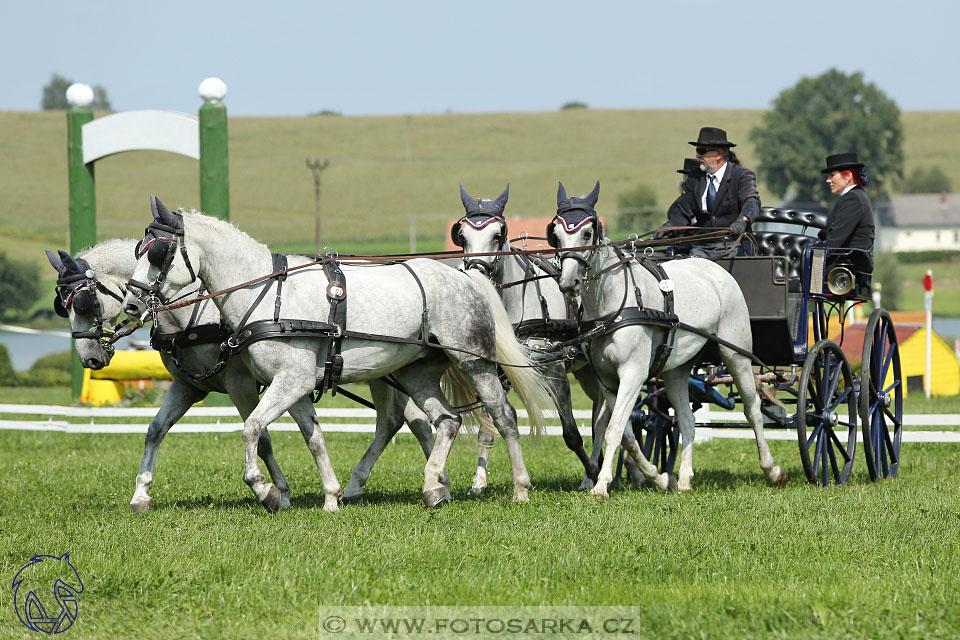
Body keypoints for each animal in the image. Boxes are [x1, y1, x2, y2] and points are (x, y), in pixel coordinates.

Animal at [45, 238, 436, 512]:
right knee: (405, 420)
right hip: (386, 372)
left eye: (84, 303)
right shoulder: (188, 386)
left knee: (402, 420)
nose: (89, 358)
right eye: (62, 306)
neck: (197, 309)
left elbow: (261, 438)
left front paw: (277, 492)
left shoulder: (240, 383)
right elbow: (155, 430)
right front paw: (141, 494)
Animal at [124, 199, 552, 510]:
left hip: (475, 364)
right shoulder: (294, 385)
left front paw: (265, 490)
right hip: (416, 373)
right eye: (137, 251)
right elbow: (312, 437)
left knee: (503, 417)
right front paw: (329, 496)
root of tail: (466, 276)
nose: (131, 302)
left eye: (158, 253)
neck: (266, 293)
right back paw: (432, 487)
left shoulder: (285, 381)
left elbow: (252, 429)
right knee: (446, 420)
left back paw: (519, 488)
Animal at [450, 182, 644, 492]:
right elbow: (490, 428)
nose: (476, 272)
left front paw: (593, 469)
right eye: (463, 236)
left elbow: (571, 432)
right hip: (590, 373)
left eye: (497, 235)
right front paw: (479, 481)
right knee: (603, 414)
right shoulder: (500, 372)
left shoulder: (555, 372)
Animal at [544, 182, 784, 498]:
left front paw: (601, 485)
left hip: (737, 355)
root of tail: (717, 269)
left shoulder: (633, 373)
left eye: (586, 233)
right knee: (687, 419)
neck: (613, 304)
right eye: (557, 235)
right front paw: (658, 477)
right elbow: (625, 432)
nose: (567, 283)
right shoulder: (607, 380)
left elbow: (614, 428)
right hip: (676, 370)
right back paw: (683, 480)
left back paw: (772, 470)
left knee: (752, 409)